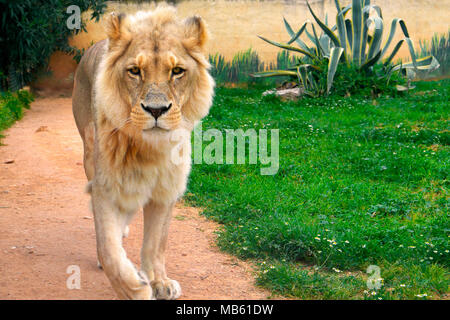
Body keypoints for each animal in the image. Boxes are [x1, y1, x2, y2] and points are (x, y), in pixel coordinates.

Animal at [71, 5, 214, 300]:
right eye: (135, 71)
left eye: (177, 71)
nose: (156, 110)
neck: (149, 149)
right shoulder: (104, 186)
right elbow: (109, 249)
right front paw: (134, 289)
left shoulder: (166, 189)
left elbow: (156, 243)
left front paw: (159, 282)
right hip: (89, 153)